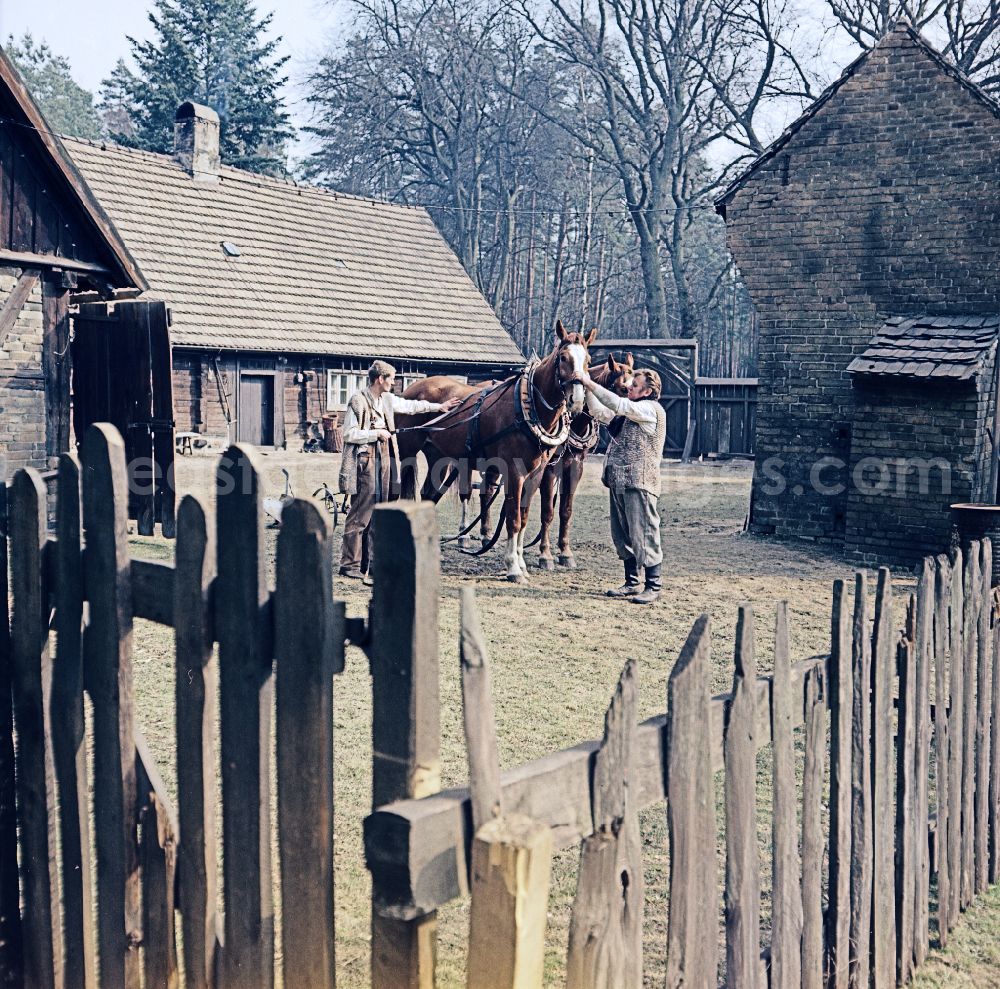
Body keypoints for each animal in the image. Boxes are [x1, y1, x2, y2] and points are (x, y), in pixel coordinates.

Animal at [390, 320, 592, 580]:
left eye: (587, 360)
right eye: (564, 357)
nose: (576, 400)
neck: (529, 406)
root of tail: (411, 389)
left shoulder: (536, 474)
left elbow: (524, 517)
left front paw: (521, 563)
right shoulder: (514, 472)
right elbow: (513, 518)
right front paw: (513, 567)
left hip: (439, 457)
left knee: (428, 495)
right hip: (407, 452)